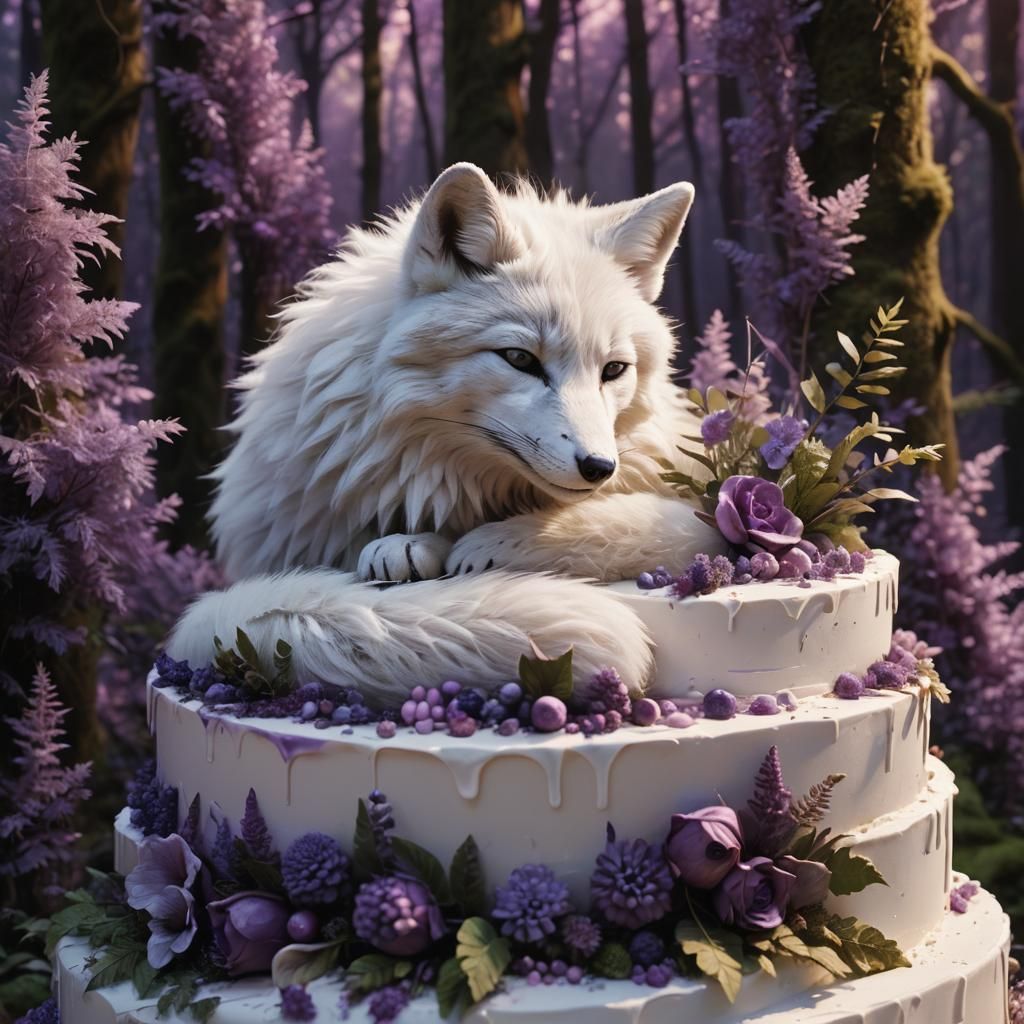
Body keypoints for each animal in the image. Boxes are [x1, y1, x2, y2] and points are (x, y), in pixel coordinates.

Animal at [168, 163, 723, 705]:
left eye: (614, 370)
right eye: (519, 358)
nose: (599, 468)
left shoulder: (701, 516)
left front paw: (496, 542)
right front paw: (407, 546)